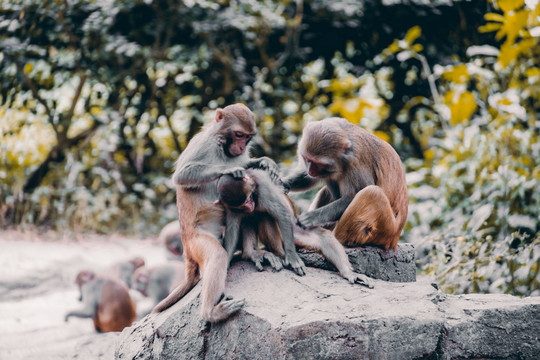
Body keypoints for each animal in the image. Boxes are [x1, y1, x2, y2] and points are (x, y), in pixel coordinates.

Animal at [282, 118, 410, 250]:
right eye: (308, 159)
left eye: (318, 164)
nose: (311, 171)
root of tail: (394, 239)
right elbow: (310, 178)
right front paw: (282, 182)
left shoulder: (356, 165)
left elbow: (352, 196)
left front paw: (311, 218)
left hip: (385, 230)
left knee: (372, 193)